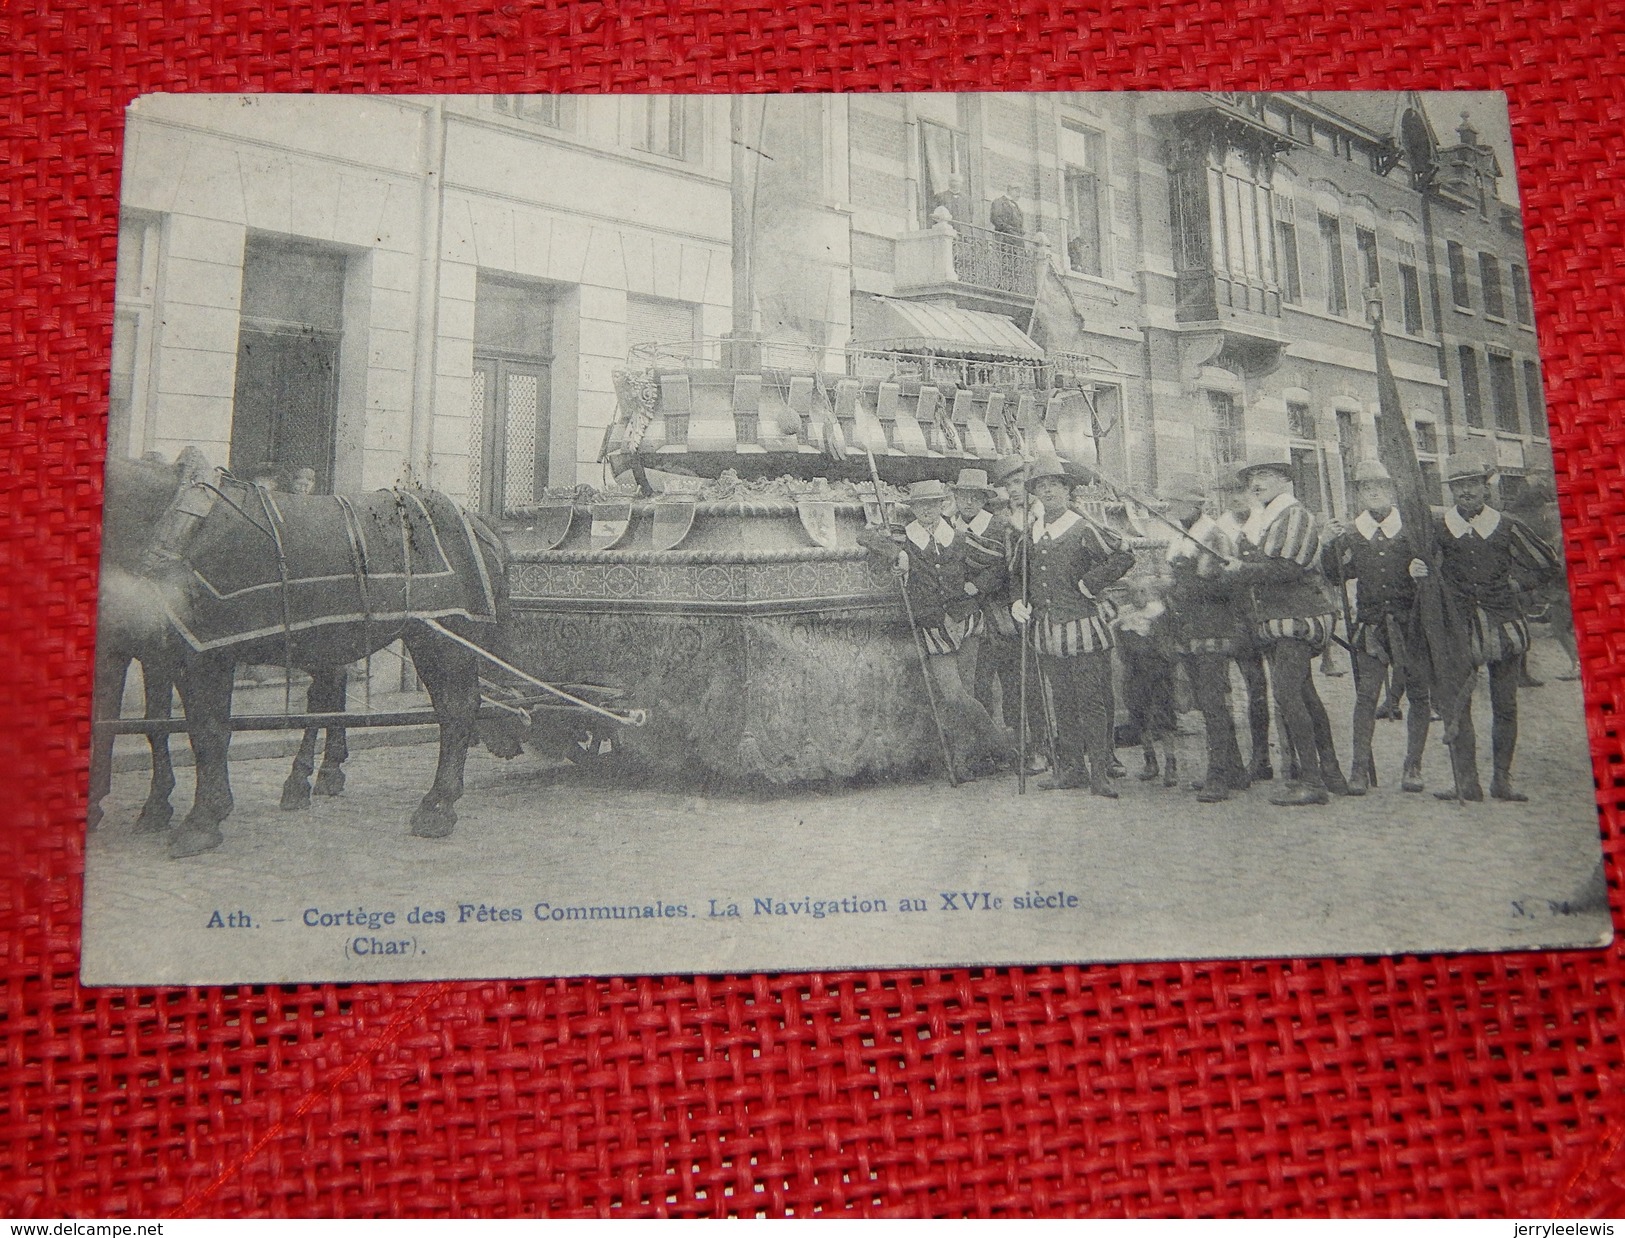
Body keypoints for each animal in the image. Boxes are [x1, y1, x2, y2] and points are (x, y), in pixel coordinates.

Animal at [90, 448, 520, 851]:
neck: (172, 520)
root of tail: (477, 520)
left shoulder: (204, 653)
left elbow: (207, 731)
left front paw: (201, 821)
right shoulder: (156, 653)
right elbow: (152, 726)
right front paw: (154, 808)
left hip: (443, 637)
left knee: (457, 707)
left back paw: (437, 807)